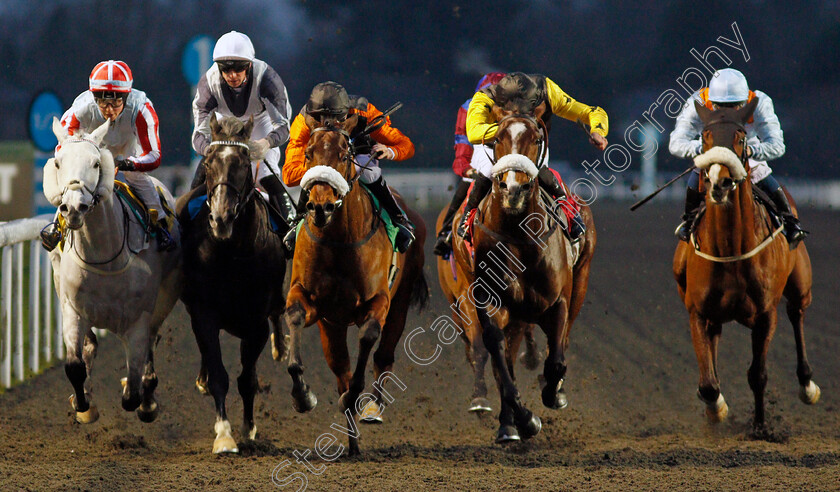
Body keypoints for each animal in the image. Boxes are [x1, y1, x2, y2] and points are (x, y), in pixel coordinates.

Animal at [43, 118, 183, 422]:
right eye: (58, 162)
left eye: (96, 163)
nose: (73, 208)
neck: (103, 257)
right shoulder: (72, 307)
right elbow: (74, 365)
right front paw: (84, 406)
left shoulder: (138, 319)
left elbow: (132, 391)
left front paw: (143, 399)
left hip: (167, 294)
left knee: (151, 345)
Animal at [176, 114, 288, 454]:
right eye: (210, 162)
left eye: (241, 162)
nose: (221, 218)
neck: (230, 253)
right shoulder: (204, 314)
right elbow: (219, 376)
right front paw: (224, 434)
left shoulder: (256, 322)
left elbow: (247, 380)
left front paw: (248, 428)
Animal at [286, 113, 430, 456]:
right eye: (308, 154)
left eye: (343, 155)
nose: (321, 207)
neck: (339, 241)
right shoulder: (313, 302)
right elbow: (295, 319)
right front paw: (302, 396)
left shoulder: (378, 301)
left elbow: (367, 337)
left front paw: (354, 398)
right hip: (333, 325)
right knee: (341, 366)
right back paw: (351, 442)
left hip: (401, 301)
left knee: (383, 354)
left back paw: (370, 409)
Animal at [446, 110, 596, 442]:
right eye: (496, 138)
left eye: (537, 139)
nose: (513, 189)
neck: (519, 235)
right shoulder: (491, 303)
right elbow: (499, 359)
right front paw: (524, 420)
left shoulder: (558, 301)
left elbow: (556, 359)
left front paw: (553, 392)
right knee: (507, 356)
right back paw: (508, 423)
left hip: (580, 282)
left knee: (562, 341)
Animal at [676, 99, 820, 434]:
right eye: (705, 138)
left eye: (741, 138)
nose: (720, 182)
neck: (730, 248)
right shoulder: (696, 310)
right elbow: (707, 383)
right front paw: (715, 409)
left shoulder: (766, 314)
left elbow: (758, 374)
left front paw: (760, 426)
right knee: (714, 338)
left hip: (800, 286)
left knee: (797, 314)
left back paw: (807, 385)